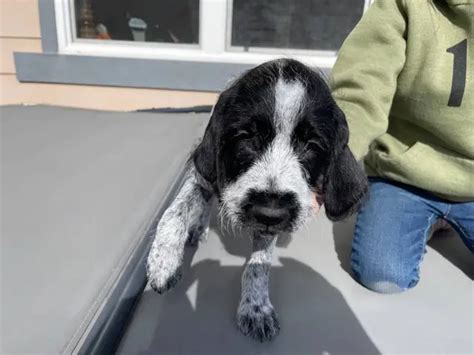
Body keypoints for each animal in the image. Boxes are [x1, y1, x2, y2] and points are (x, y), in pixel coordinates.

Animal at [146, 58, 368, 342]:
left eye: (311, 145)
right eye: (247, 137)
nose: (270, 213)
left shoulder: (271, 224)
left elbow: (259, 265)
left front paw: (256, 307)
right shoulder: (204, 174)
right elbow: (177, 208)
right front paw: (164, 260)